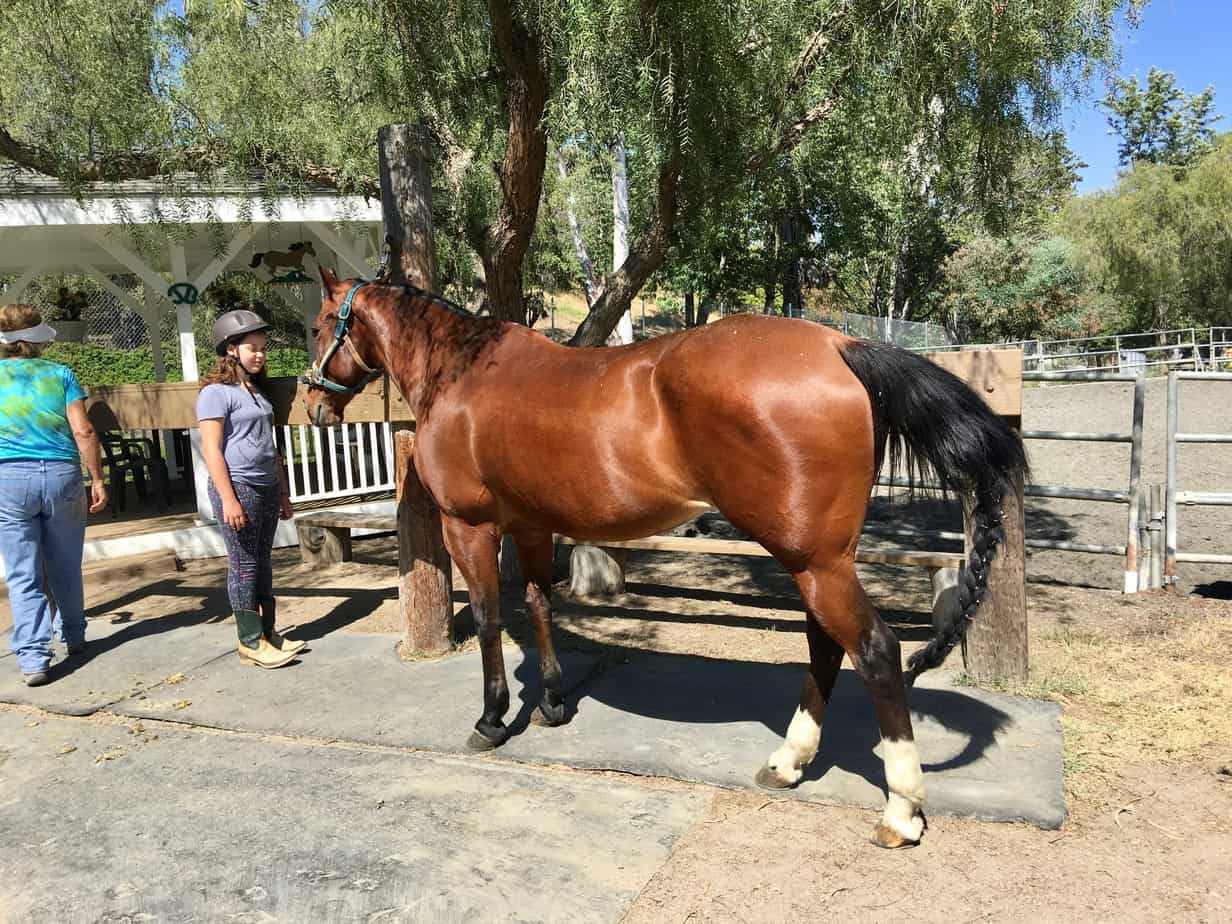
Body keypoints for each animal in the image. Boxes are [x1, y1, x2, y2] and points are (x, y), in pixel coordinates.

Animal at [303, 266, 1025, 847]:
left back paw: (901, 812)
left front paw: (491, 718)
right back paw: (788, 762)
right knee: (825, 646)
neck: (463, 374)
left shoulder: (471, 526)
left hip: (816, 563)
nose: (311, 405)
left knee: (873, 651)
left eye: (315, 325)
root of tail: (838, 345)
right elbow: (537, 604)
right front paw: (553, 703)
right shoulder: (532, 527)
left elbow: (486, 618)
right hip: (819, 562)